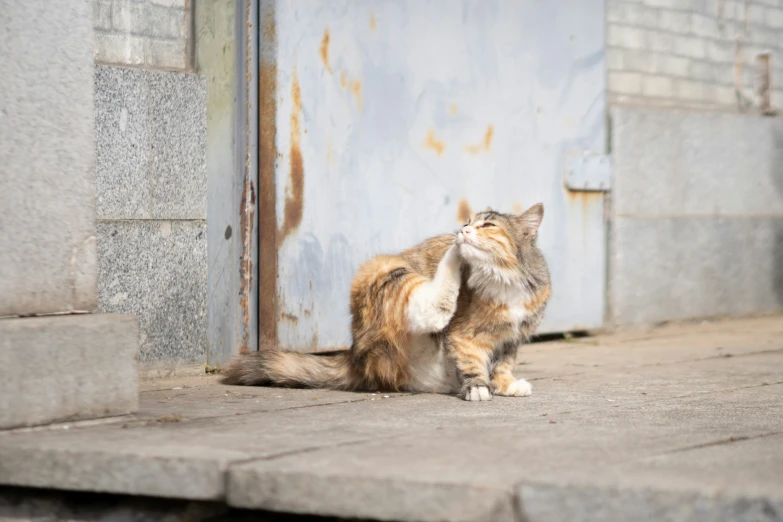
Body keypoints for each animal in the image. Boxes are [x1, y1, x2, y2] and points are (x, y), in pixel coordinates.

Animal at [220, 201, 552, 400]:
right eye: (470, 221)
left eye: (488, 226)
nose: (463, 229)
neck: (505, 280)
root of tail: (355, 355)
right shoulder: (463, 336)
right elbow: (472, 362)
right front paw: (479, 388)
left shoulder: (512, 339)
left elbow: (503, 364)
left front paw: (506, 385)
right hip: (386, 272)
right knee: (433, 309)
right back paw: (454, 254)